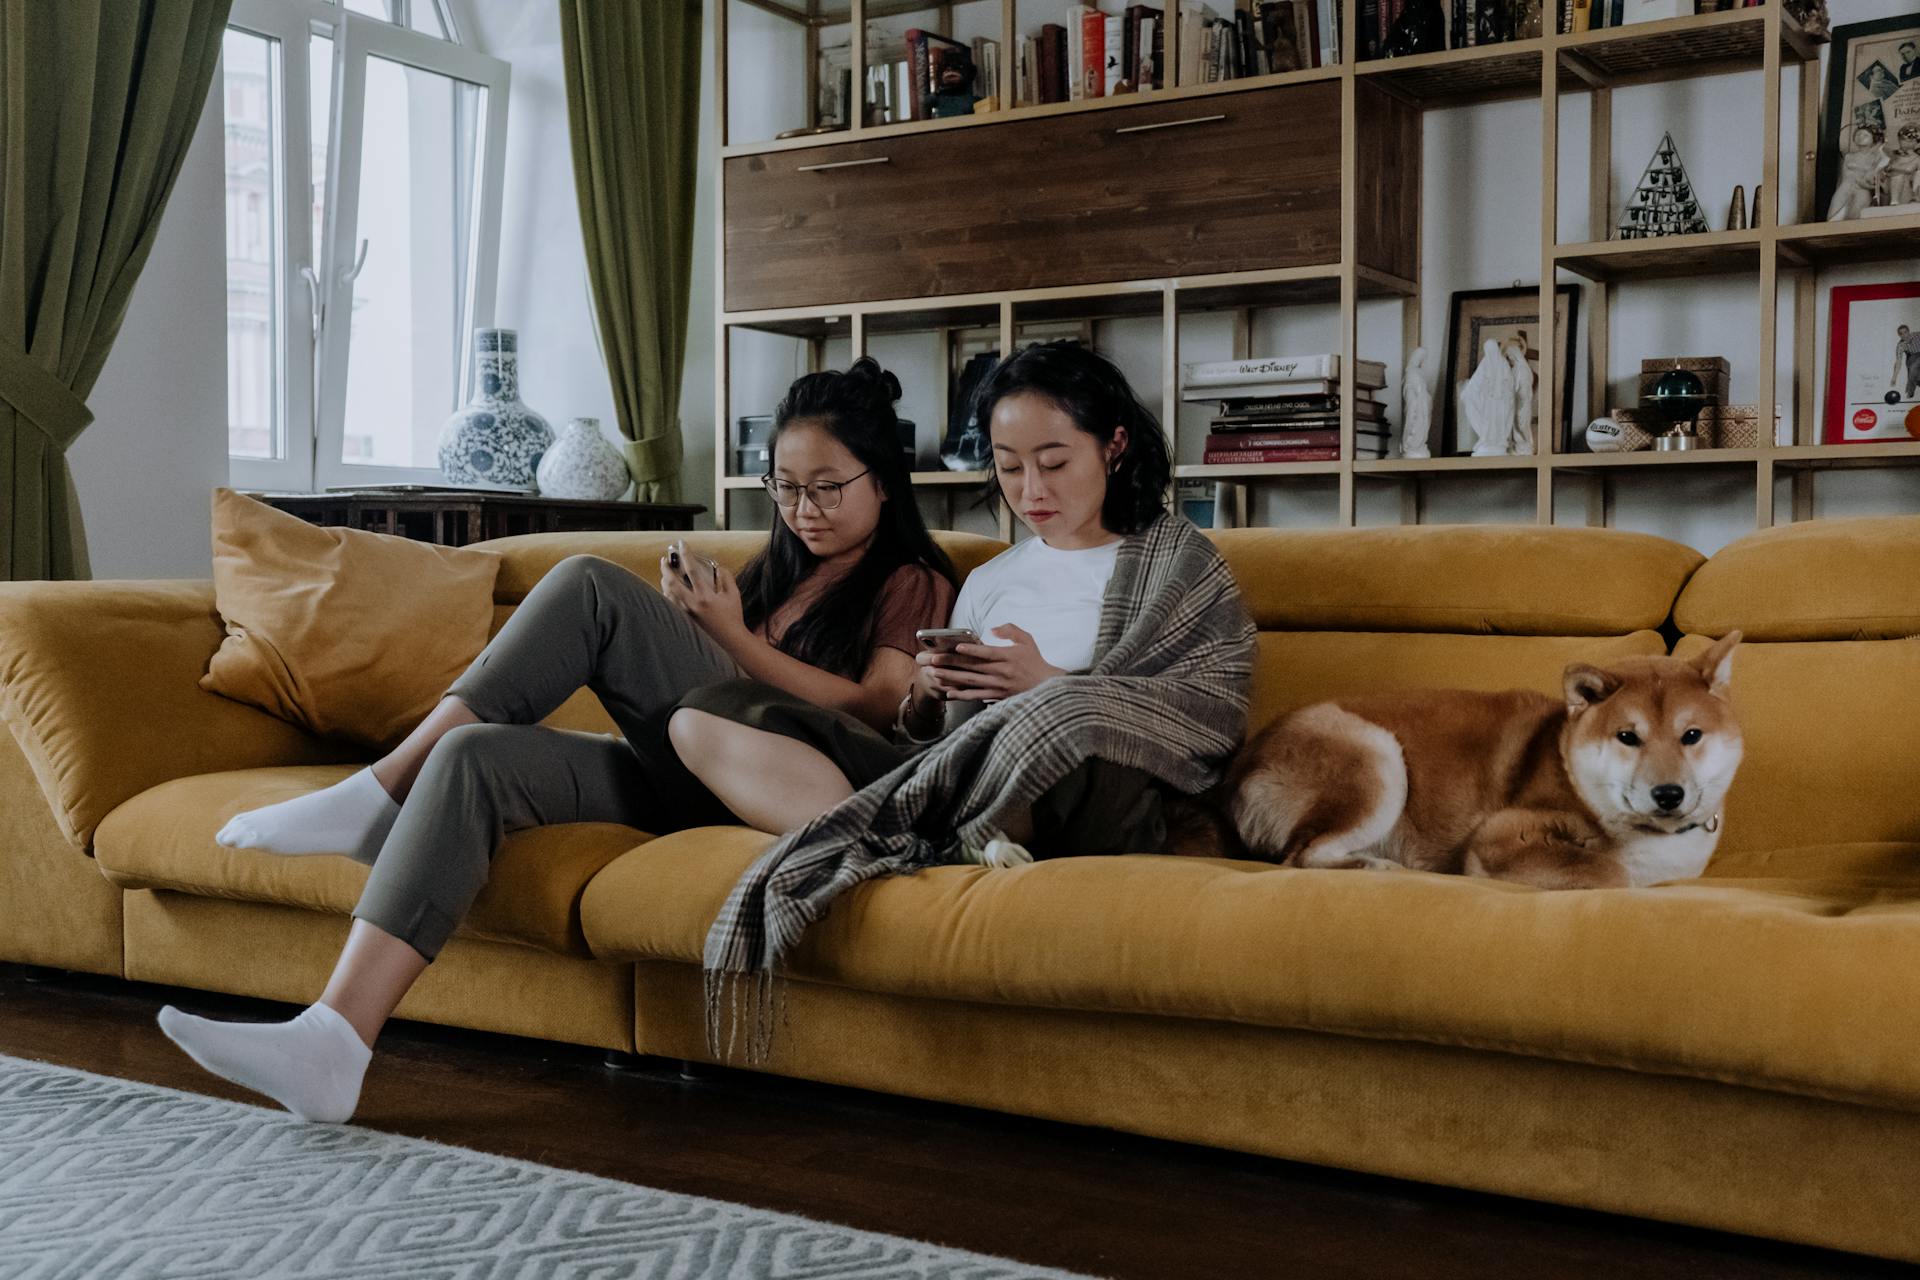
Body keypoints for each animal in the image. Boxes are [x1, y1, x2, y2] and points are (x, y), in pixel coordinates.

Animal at [1221, 633, 1751, 890]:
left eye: (1691, 736)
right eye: (1628, 737)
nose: (1669, 794)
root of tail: (1243, 765)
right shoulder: (1500, 835)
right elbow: (1611, 873)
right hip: (1377, 762)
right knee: (1300, 858)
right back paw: (1379, 867)